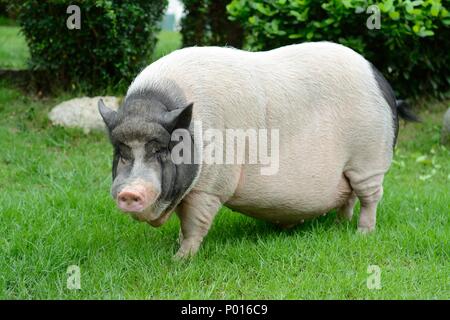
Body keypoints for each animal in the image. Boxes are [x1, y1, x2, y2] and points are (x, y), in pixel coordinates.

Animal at [98, 42, 414, 258]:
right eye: (121, 152)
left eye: (161, 151)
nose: (129, 192)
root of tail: (383, 83)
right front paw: (176, 247)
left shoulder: (212, 184)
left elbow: (194, 222)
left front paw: (180, 259)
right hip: (349, 169)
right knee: (347, 197)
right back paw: (339, 227)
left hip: (368, 159)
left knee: (370, 197)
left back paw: (363, 234)